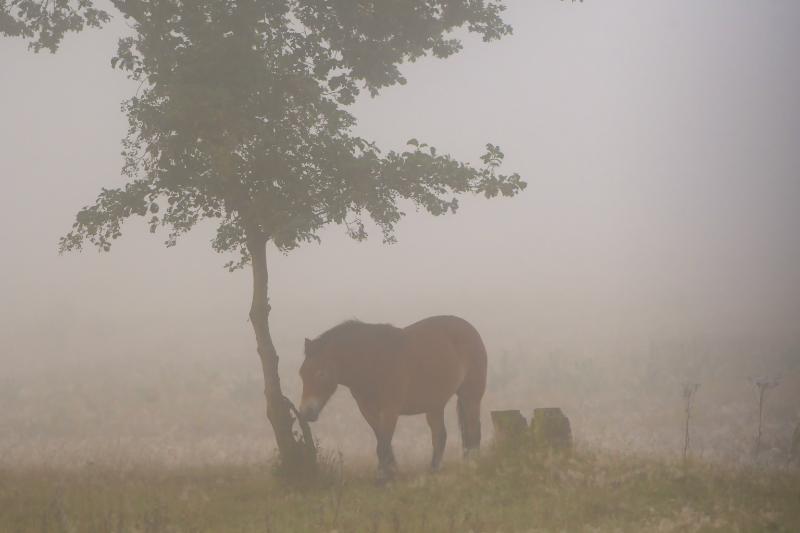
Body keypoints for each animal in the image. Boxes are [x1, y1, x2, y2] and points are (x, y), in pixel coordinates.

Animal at [298, 314, 488, 480]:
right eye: (301, 374)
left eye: (321, 374)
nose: (306, 412)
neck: (373, 362)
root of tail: (471, 330)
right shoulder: (368, 411)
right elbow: (382, 441)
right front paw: (391, 470)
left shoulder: (390, 410)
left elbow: (383, 444)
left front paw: (383, 476)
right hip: (435, 404)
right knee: (440, 436)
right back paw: (434, 469)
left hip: (471, 395)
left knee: (473, 430)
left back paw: (473, 464)